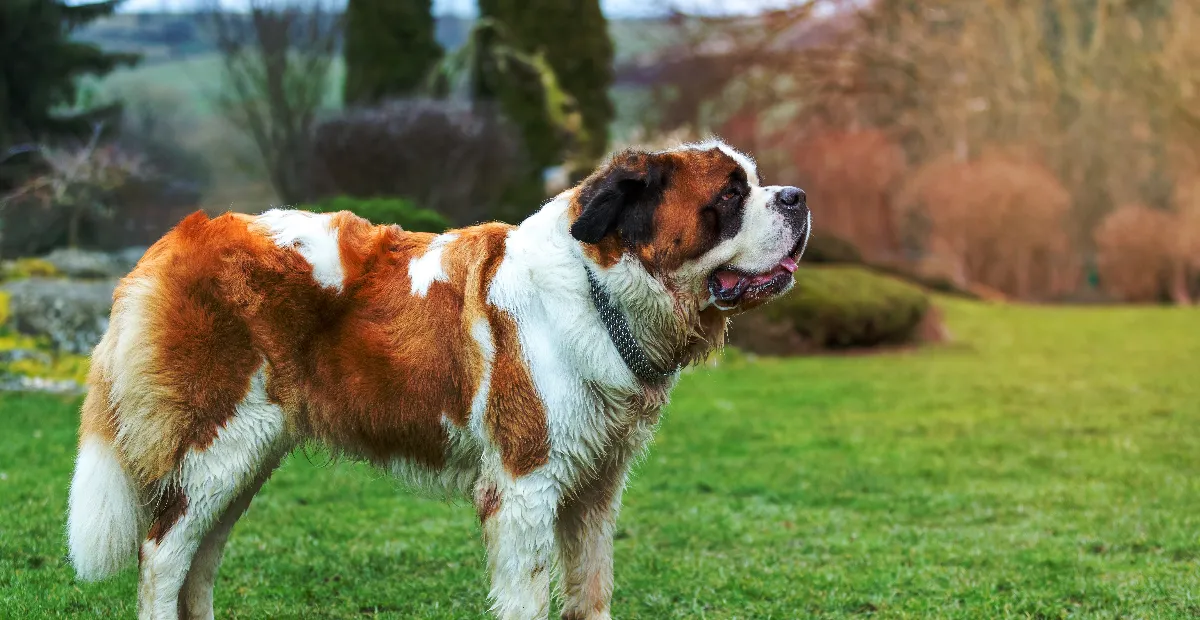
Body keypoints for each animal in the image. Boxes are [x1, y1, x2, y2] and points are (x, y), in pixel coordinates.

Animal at [68, 137, 816, 614]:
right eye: (730, 195)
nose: (798, 196)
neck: (600, 289)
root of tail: (178, 237)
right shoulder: (525, 489)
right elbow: (530, 596)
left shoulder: (596, 490)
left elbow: (591, 592)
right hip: (217, 445)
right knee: (163, 557)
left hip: (242, 462)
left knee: (198, 561)